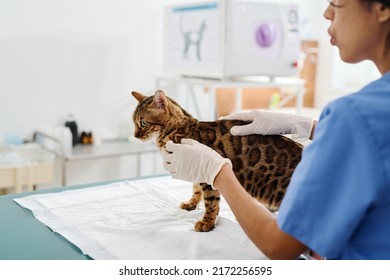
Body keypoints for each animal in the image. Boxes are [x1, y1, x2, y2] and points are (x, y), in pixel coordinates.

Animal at [133, 89, 304, 232]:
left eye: (143, 123)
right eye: (134, 123)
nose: (135, 136)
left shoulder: (208, 174)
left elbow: (211, 201)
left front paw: (207, 222)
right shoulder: (194, 168)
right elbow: (196, 189)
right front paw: (191, 204)